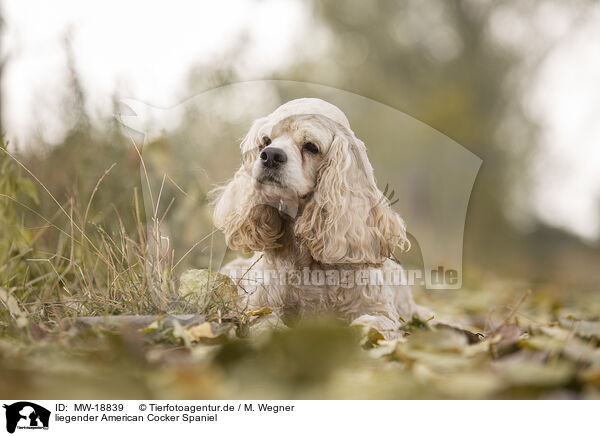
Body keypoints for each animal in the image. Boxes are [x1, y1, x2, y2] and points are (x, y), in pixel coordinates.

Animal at [212, 99, 432, 338]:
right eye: (265, 141)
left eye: (311, 146)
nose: (270, 156)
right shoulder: (259, 308)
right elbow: (267, 324)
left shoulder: (382, 313)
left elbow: (369, 325)